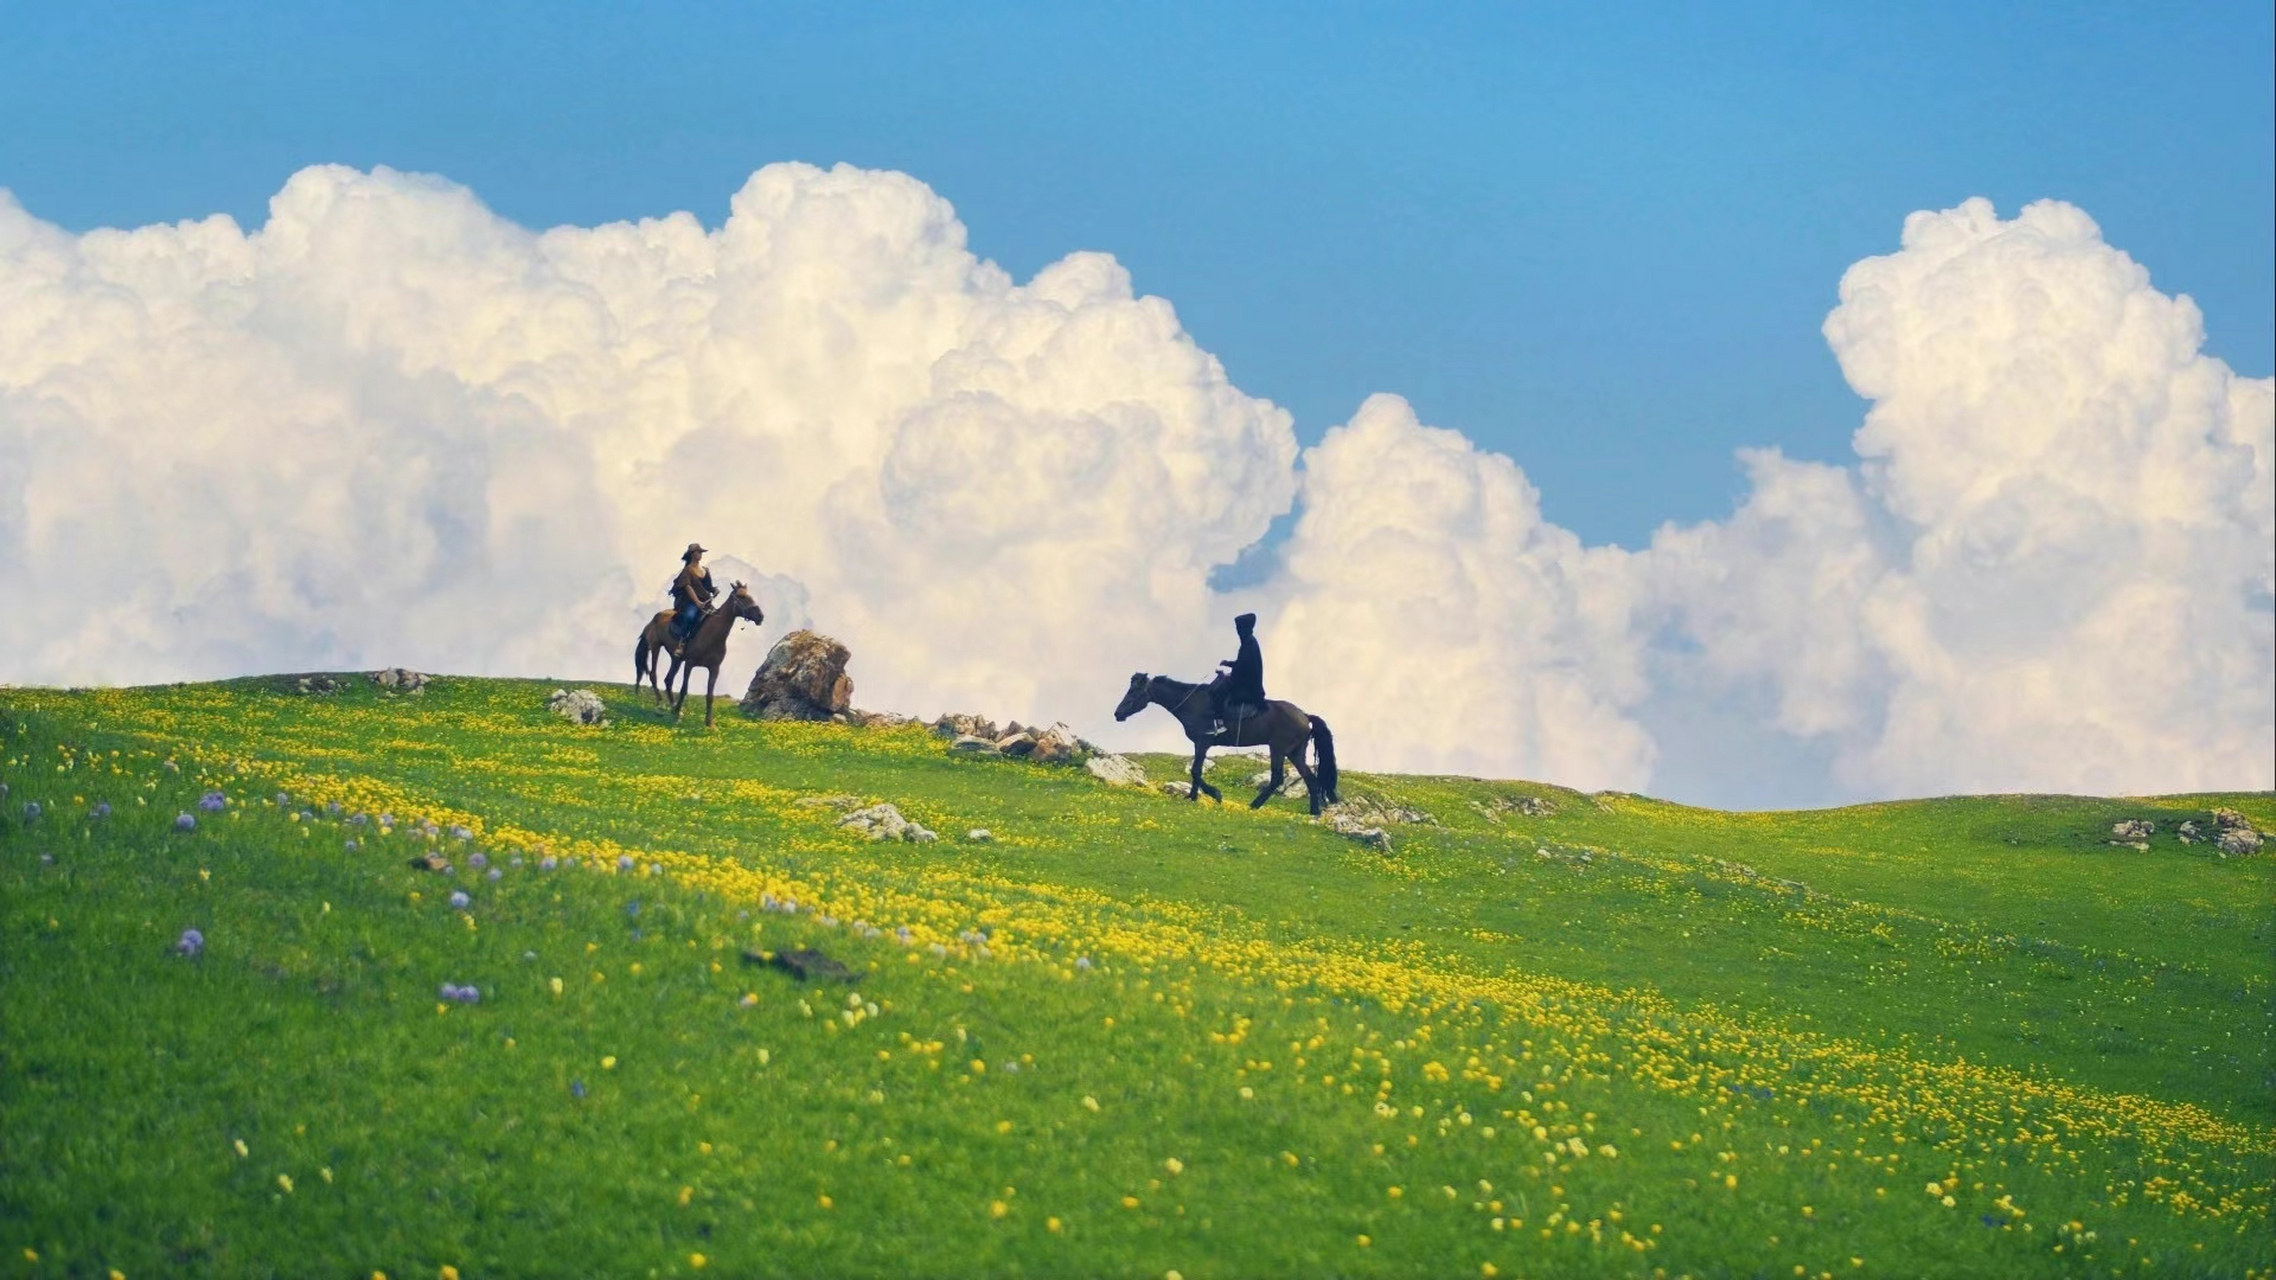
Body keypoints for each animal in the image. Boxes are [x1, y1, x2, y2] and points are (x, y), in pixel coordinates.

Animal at [632, 580, 764, 724]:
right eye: (742, 597)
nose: (760, 616)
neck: (712, 635)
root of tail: (654, 618)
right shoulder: (689, 664)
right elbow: (684, 689)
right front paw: (677, 714)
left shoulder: (714, 669)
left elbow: (710, 695)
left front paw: (709, 723)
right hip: (656, 647)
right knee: (653, 675)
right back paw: (661, 705)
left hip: (676, 659)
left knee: (668, 680)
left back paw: (672, 706)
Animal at [1115, 674, 1338, 810]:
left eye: (1133, 691)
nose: (1117, 714)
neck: (1192, 703)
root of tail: (1305, 715)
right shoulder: (1200, 744)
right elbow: (1196, 771)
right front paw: (1193, 797)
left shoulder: (1203, 741)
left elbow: (1195, 771)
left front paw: (1215, 794)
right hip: (1294, 752)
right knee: (1310, 779)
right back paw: (1314, 812)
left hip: (1278, 748)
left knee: (1277, 779)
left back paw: (1254, 805)